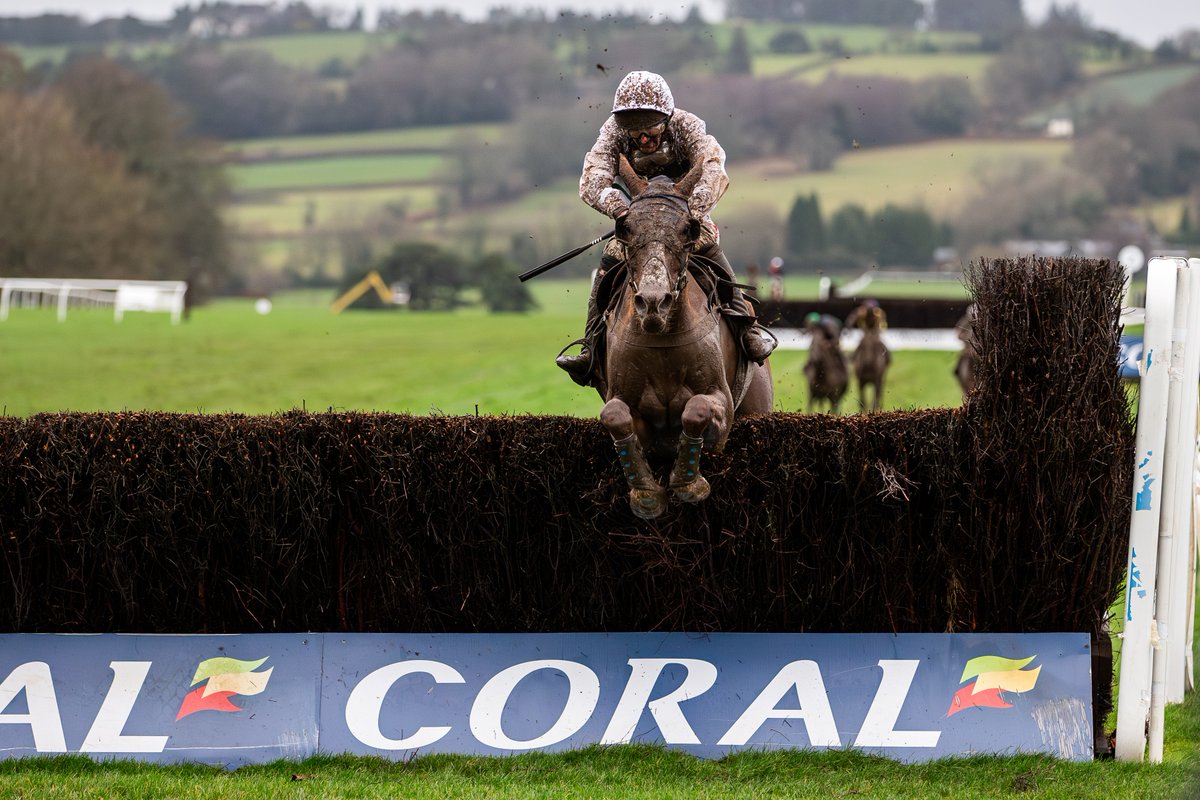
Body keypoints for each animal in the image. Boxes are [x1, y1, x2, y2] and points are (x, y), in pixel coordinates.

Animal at [592, 155, 777, 520]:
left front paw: (688, 481)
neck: (662, 337)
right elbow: (615, 416)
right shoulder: (624, 400)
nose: (653, 302)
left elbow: (697, 409)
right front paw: (646, 493)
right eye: (625, 227)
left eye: (687, 228)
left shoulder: (721, 402)